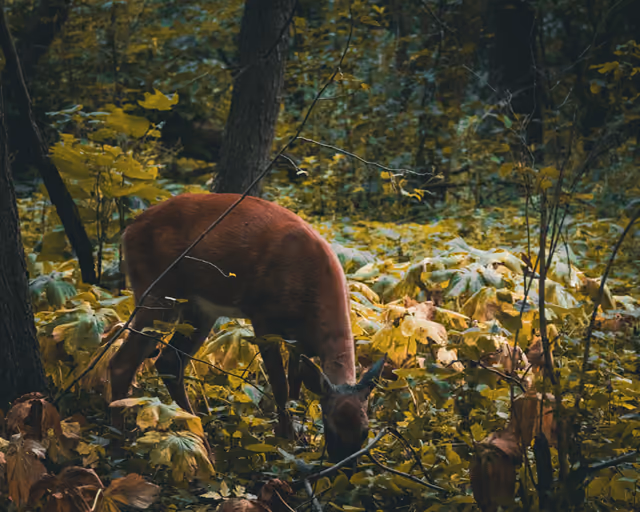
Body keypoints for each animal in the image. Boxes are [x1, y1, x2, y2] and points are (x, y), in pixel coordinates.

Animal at [108, 193, 385, 462]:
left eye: (365, 432)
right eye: (330, 426)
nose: (345, 468)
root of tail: (128, 229)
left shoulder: (298, 340)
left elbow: (295, 386)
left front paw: (300, 438)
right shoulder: (263, 317)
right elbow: (280, 385)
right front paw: (284, 441)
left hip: (198, 309)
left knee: (169, 362)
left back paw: (204, 447)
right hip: (156, 291)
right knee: (122, 362)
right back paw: (118, 448)